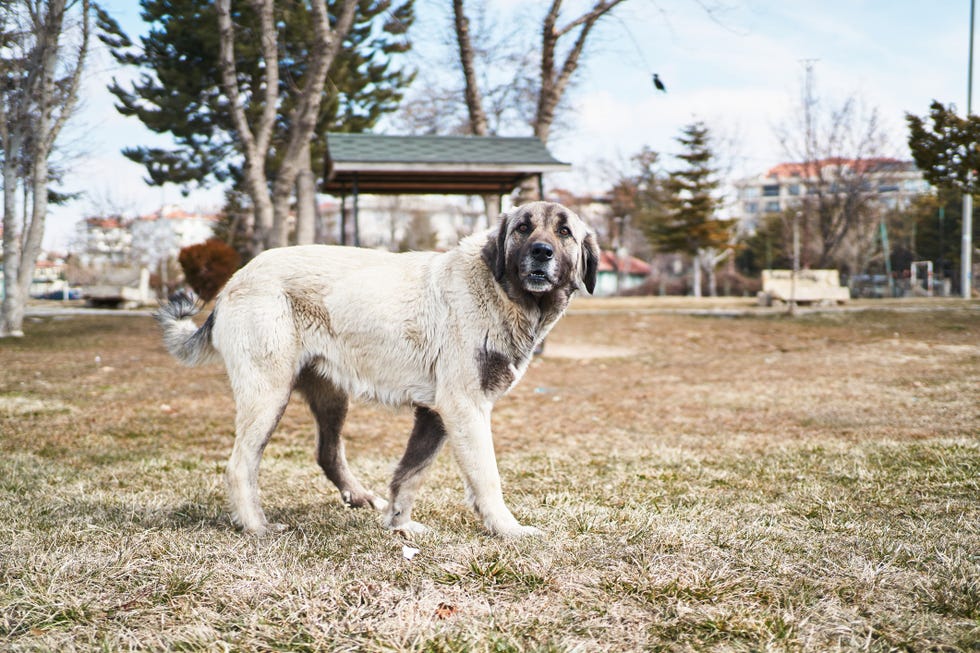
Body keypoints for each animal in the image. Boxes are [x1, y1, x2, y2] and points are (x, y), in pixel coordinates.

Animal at [156, 201, 596, 536]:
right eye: (523, 228)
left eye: (564, 232)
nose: (542, 252)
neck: (497, 290)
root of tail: (232, 283)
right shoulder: (464, 409)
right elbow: (486, 476)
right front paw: (508, 529)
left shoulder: (434, 415)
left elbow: (410, 473)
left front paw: (399, 525)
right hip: (268, 395)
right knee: (239, 465)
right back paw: (256, 526)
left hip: (330, 398)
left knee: (327, 453)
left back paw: (357, 496)